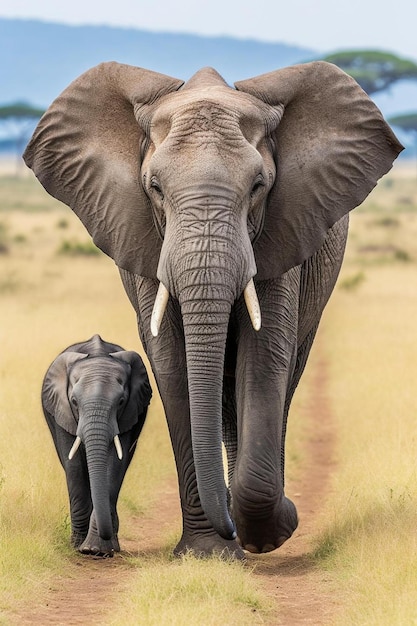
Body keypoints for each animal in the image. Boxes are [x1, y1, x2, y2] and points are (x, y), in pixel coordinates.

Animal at [42, 334, 152, 552]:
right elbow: (74, 466)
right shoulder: (62, 411)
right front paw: (79, 547)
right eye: (74, 401)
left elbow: (114, 464)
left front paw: (96, 550)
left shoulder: (128, 413)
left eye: (121, 402)